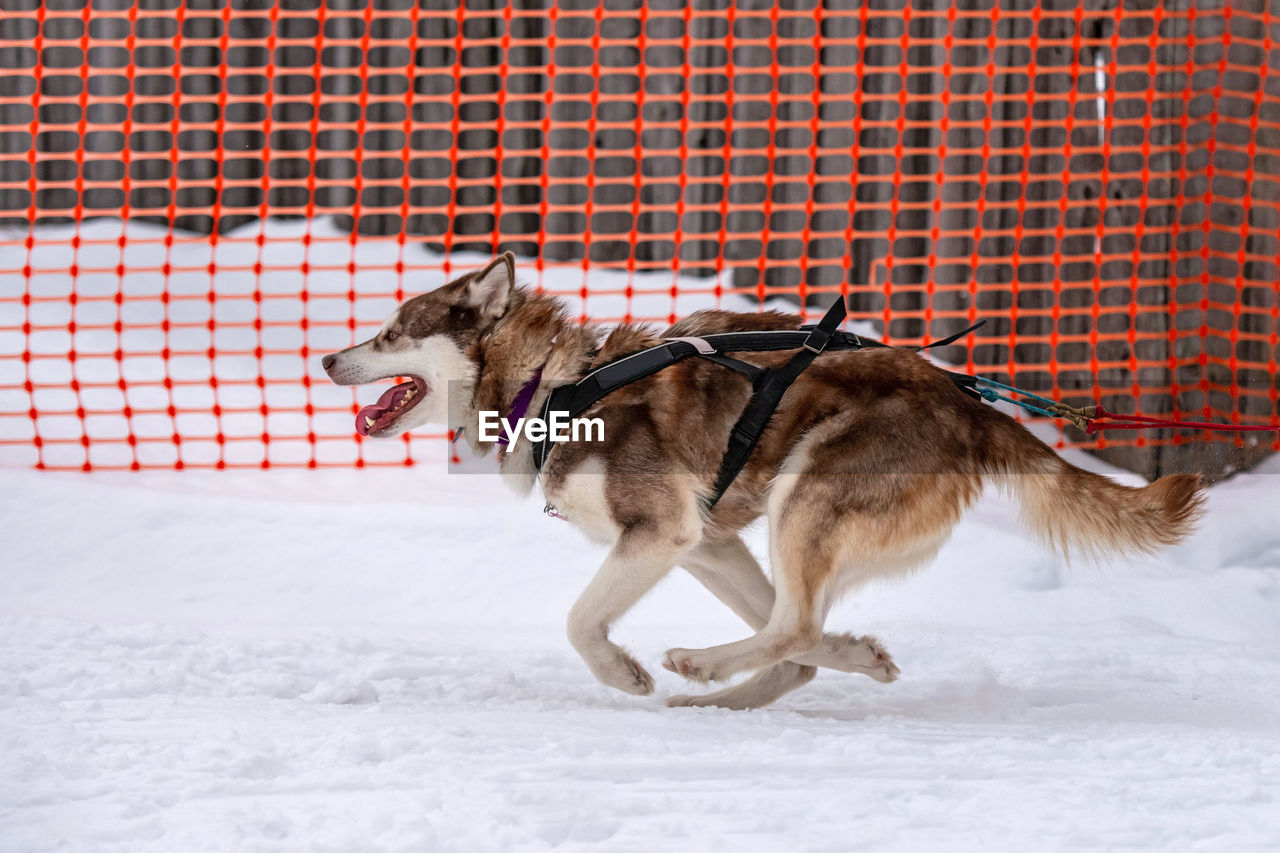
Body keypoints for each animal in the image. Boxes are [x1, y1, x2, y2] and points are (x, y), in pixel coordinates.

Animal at [320, 256, 1198, 706]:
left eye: (392, 331)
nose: (328, 357)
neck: (555, 387)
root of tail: (965, 401)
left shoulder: (660, 533)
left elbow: (579, 621)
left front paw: (622, 671)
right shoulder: (703, 542)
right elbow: (798, 633)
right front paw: (858, 655)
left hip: (804, 497)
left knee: (794, 625)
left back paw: (701, 667)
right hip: (782, 521)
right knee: (799, 636)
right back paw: (734, 693)